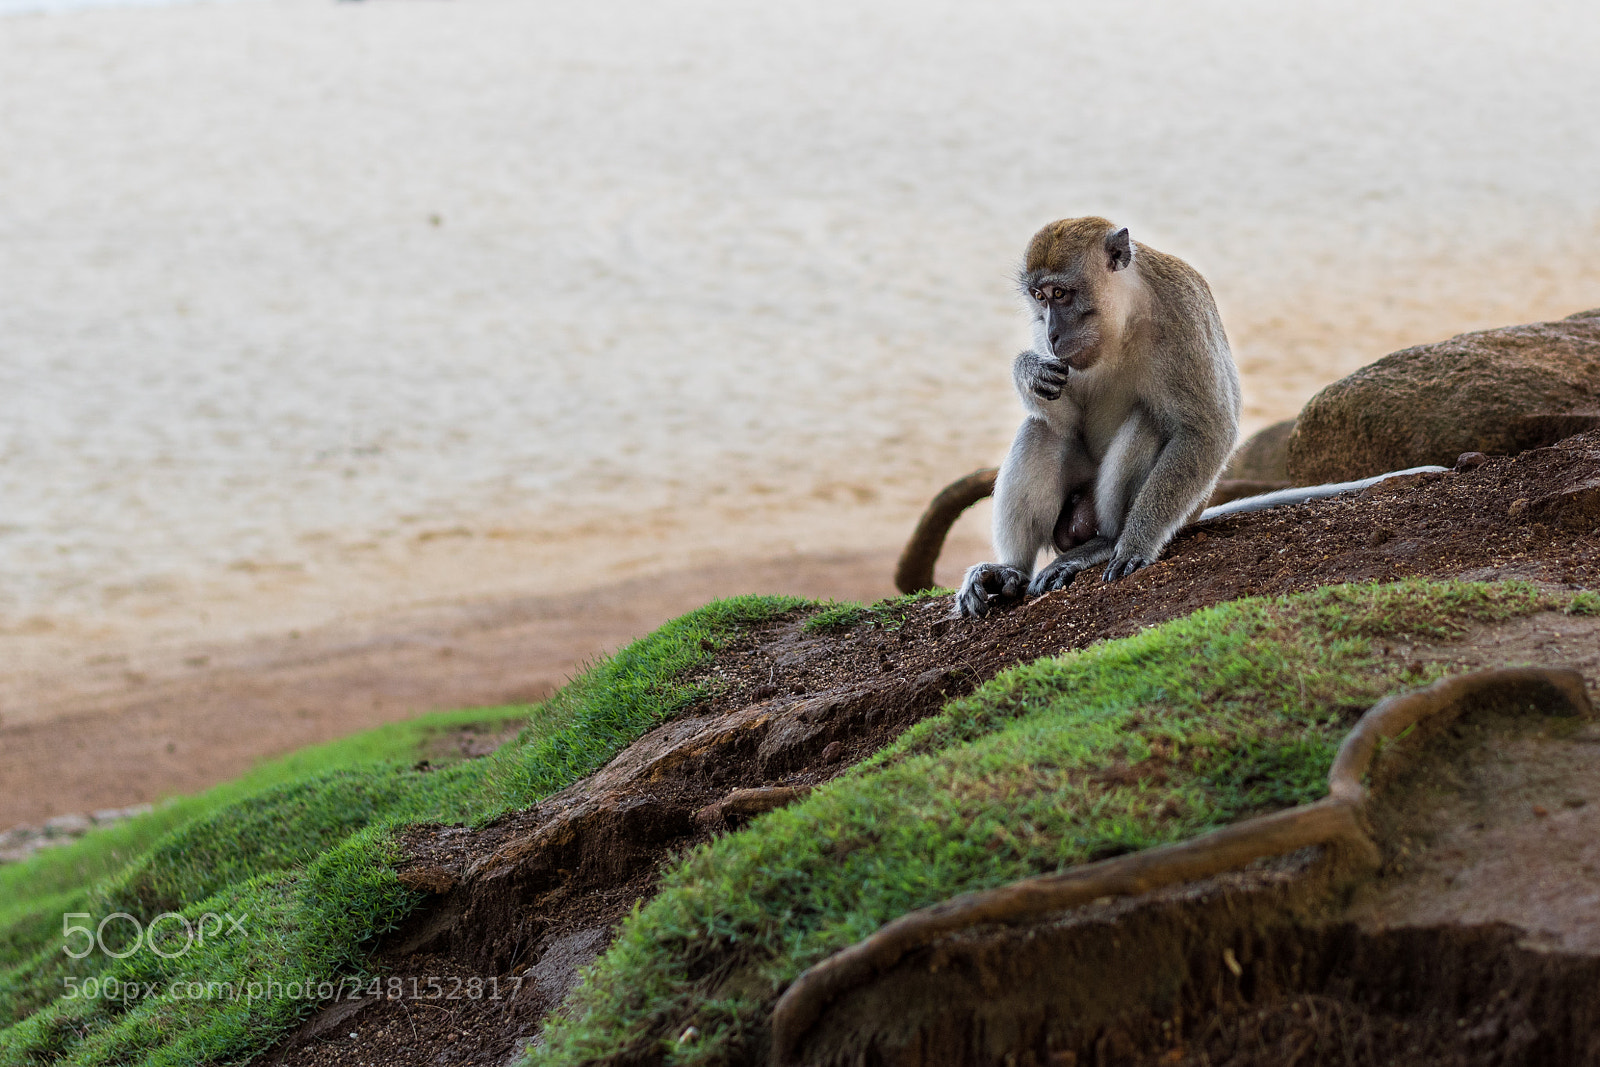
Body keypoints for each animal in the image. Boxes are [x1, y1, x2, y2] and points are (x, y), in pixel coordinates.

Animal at [955, 217, 1241, 618]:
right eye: (1039, 298)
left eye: (1060, 293)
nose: (1051, 333)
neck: (1125, 316)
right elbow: (1066, 418)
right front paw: (1029, 370)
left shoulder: (1181, 312)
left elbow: (1206, 431)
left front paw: (1136, 543)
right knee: (1041, 428)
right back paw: (1010, 570)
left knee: (1150, 421)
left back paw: (1106, 541)